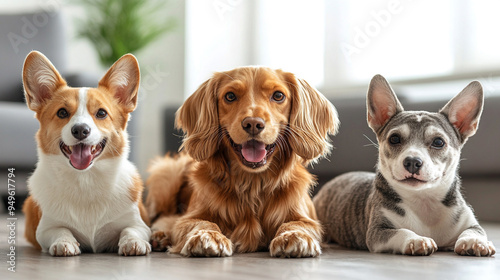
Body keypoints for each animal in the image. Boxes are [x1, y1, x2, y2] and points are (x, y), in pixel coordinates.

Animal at [22, 51, 150, 258]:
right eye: (62, 112)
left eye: (101, 113)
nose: (81, 130)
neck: (85, 179)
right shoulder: (46, 228)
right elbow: (60, 230)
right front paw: (64, 243)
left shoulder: (139, 224)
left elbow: (131, 230)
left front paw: (133, 243)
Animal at [316, 74, 496, 256]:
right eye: (394, 139)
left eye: (438, 142)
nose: (412, 161)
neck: (424, 201)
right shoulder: (378, 232)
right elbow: (401, 232)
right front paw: (416, 240)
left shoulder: (471, 223)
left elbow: (474, 231)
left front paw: (474, 241)